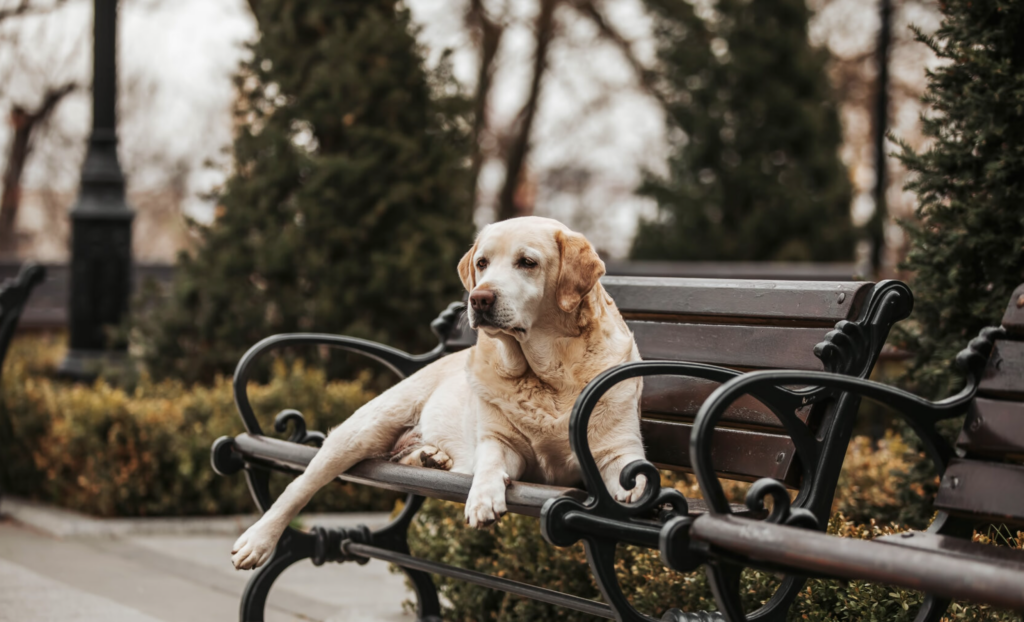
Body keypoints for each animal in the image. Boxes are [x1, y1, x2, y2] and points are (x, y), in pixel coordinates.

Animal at [233, 216, 647, 573]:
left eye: (527, 262)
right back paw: (256, 541)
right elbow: (490, 463)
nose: (479, 298)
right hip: (362, 430)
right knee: (300, 485)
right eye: (482, 263)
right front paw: (482, 499)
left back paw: (428, 457)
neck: (548, 374)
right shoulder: (500, 441)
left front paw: (638, 490)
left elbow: (632, 470)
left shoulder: (618, 449)